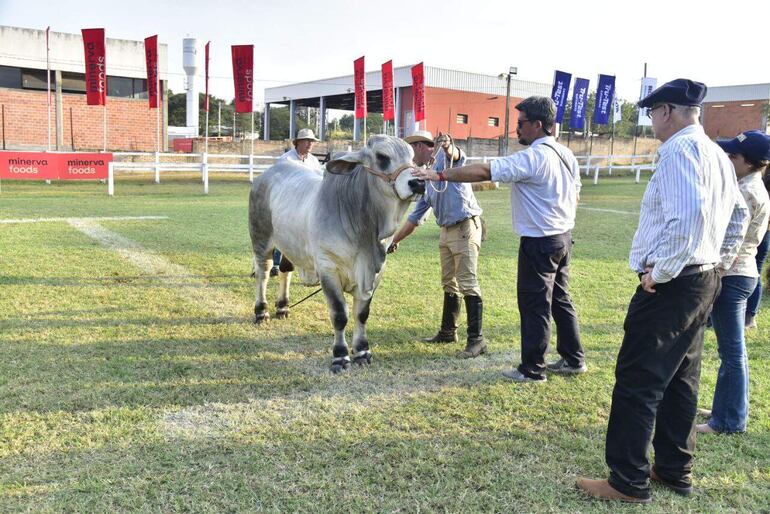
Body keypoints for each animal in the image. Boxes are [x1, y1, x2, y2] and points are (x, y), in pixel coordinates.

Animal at [248, 134, 424, 370]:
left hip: (289, 244)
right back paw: (261, 311)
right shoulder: (328, 269)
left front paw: (362, 351)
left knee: (285, 269)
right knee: (263, 273)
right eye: (382, 156)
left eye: (412, 158)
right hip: (262, 239)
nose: (419, 182)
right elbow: (340, 314)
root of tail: (265, 174)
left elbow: (362, 314)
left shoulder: (375, 274)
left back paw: (283, 307)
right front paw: (340, 356)